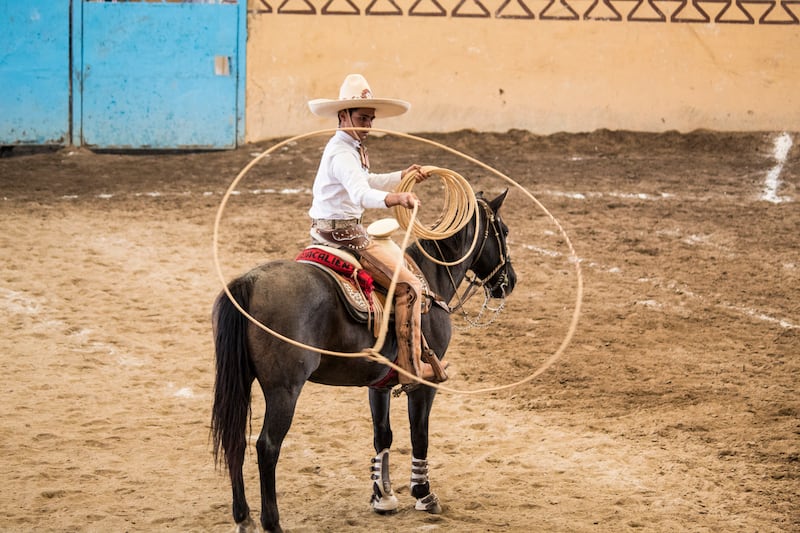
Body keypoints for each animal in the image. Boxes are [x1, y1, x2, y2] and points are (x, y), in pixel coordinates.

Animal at [209, 189, 516, 528]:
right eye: (504, 231)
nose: (510, 281)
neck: (431, 279)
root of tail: (249, 282)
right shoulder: (425, 383)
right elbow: (419, 434)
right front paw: (423, 494)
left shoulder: (378, 384)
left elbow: (382, 435)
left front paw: (383, 496)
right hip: (284, 390)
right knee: (267, 446)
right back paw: (271, 522)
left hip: (242, 381)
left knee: (236, 440)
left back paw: (243, 517)